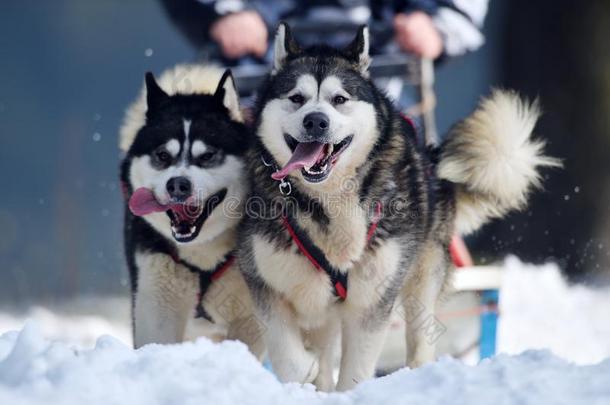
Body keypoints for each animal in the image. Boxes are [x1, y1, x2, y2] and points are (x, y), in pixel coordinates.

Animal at [118, 64, 262, 354]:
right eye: (163, 155)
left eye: (207, 156)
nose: (177, 185)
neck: (202, 254)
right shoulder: (157, 303)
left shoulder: (249, 317)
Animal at [236, 23, 556, 390]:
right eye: (296, 98)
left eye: (339, 99)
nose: (316, 121)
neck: (329, 203)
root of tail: (430, 161)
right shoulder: (265, 283)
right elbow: (290, 357)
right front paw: (308, 374)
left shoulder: (371, 300)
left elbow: (355, 368)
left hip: (421, 278)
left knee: (419, 339)